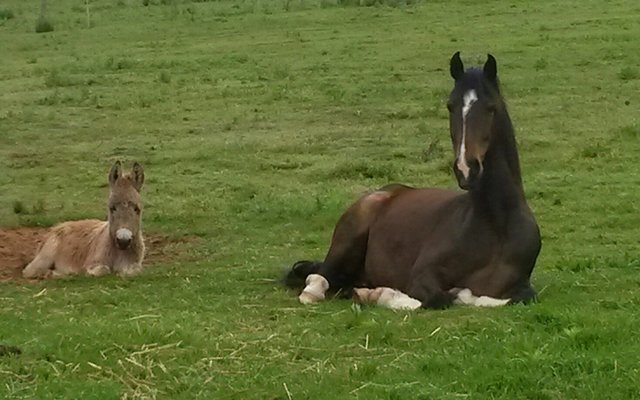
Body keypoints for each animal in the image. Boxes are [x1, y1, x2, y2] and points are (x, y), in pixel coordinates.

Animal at [284, 52, 541, 310]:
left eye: (490, 107)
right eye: (450, 106)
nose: (466, 168)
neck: (496, 226)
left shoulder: (522, 287)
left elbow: (517, 297)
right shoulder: (422, 275)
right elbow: (440, 297)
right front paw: (378, 294)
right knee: (317, 279)